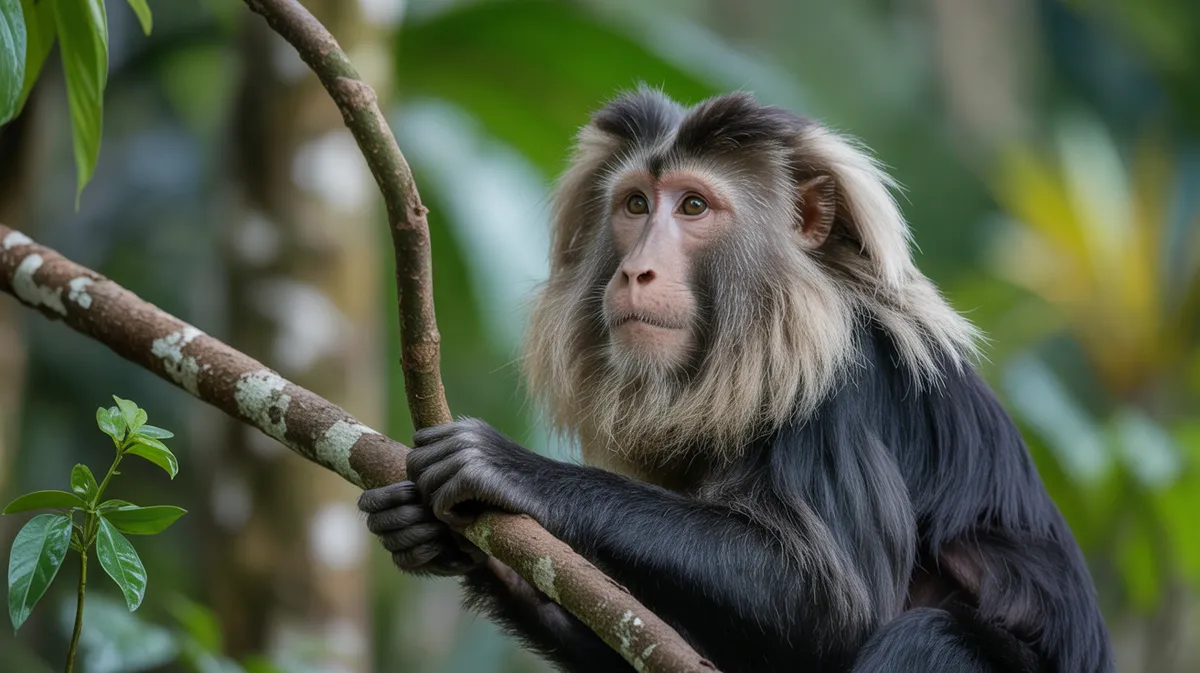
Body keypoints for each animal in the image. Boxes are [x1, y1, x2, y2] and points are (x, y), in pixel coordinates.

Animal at [358, 88, 1115, 673]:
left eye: (692, 208)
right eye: (636, 206)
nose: (637, 270)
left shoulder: (838, 383)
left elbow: (833, 603)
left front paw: (512, 471)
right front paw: (445, 541)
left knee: (933, 639)